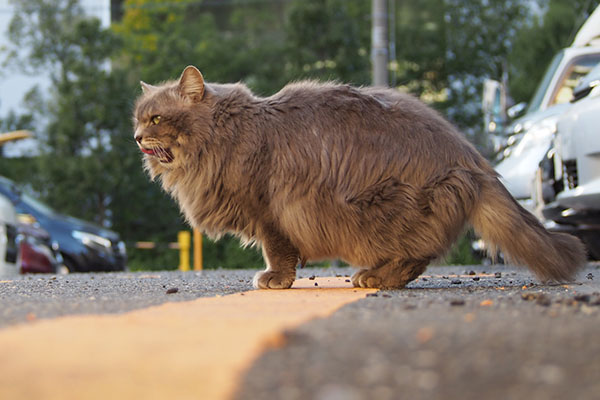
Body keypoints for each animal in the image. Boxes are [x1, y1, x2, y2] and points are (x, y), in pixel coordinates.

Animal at [135, 67, 584, 290]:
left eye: (156, 119)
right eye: (138, 118)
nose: (136, 137)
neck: (224, 135)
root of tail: (472, 160)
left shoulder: (271, 211)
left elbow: (277, 253)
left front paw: (275, 280)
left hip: (383, 208)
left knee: (419, 253)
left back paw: (377, 279)